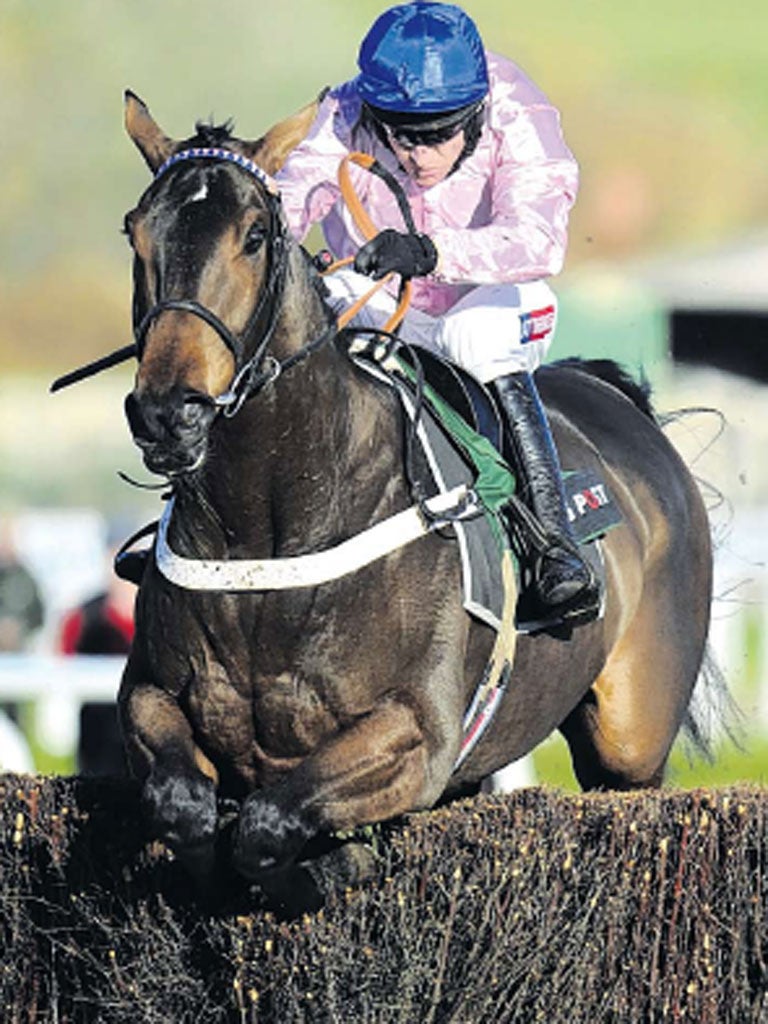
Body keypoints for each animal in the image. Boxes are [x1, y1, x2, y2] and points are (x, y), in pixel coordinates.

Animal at [115, 90, 716, 897]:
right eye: (135, 230)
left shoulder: (415, 731)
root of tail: (615, 395)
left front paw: (329, 863)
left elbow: (268, 824)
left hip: (631, 742)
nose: (167, 412)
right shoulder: (149, 694)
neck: (268, 526)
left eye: (254, 236)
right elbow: (187, 810)